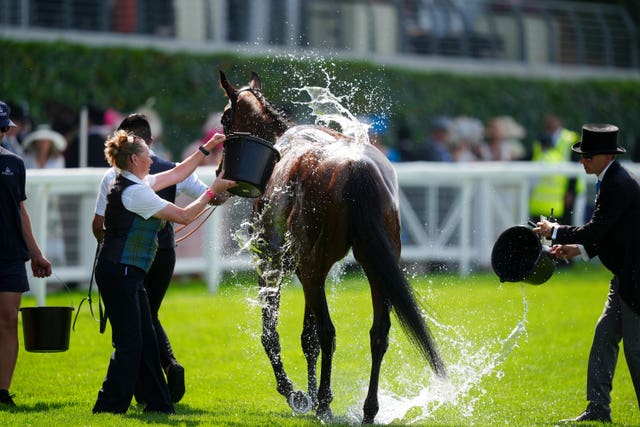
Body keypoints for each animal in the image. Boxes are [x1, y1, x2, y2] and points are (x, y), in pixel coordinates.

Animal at [218, 70, 446, 423]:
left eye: (224, 118)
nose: (220, 171)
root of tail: (357, 168)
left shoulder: (274, 263)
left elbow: (273, 334)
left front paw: (297, 393)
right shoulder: (309, 269)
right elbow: (307, 337)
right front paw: (310, 393)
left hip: (313, 268)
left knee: (328, 331)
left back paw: (324, 403)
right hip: (374, 267)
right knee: (378, 333)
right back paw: (367, 408)